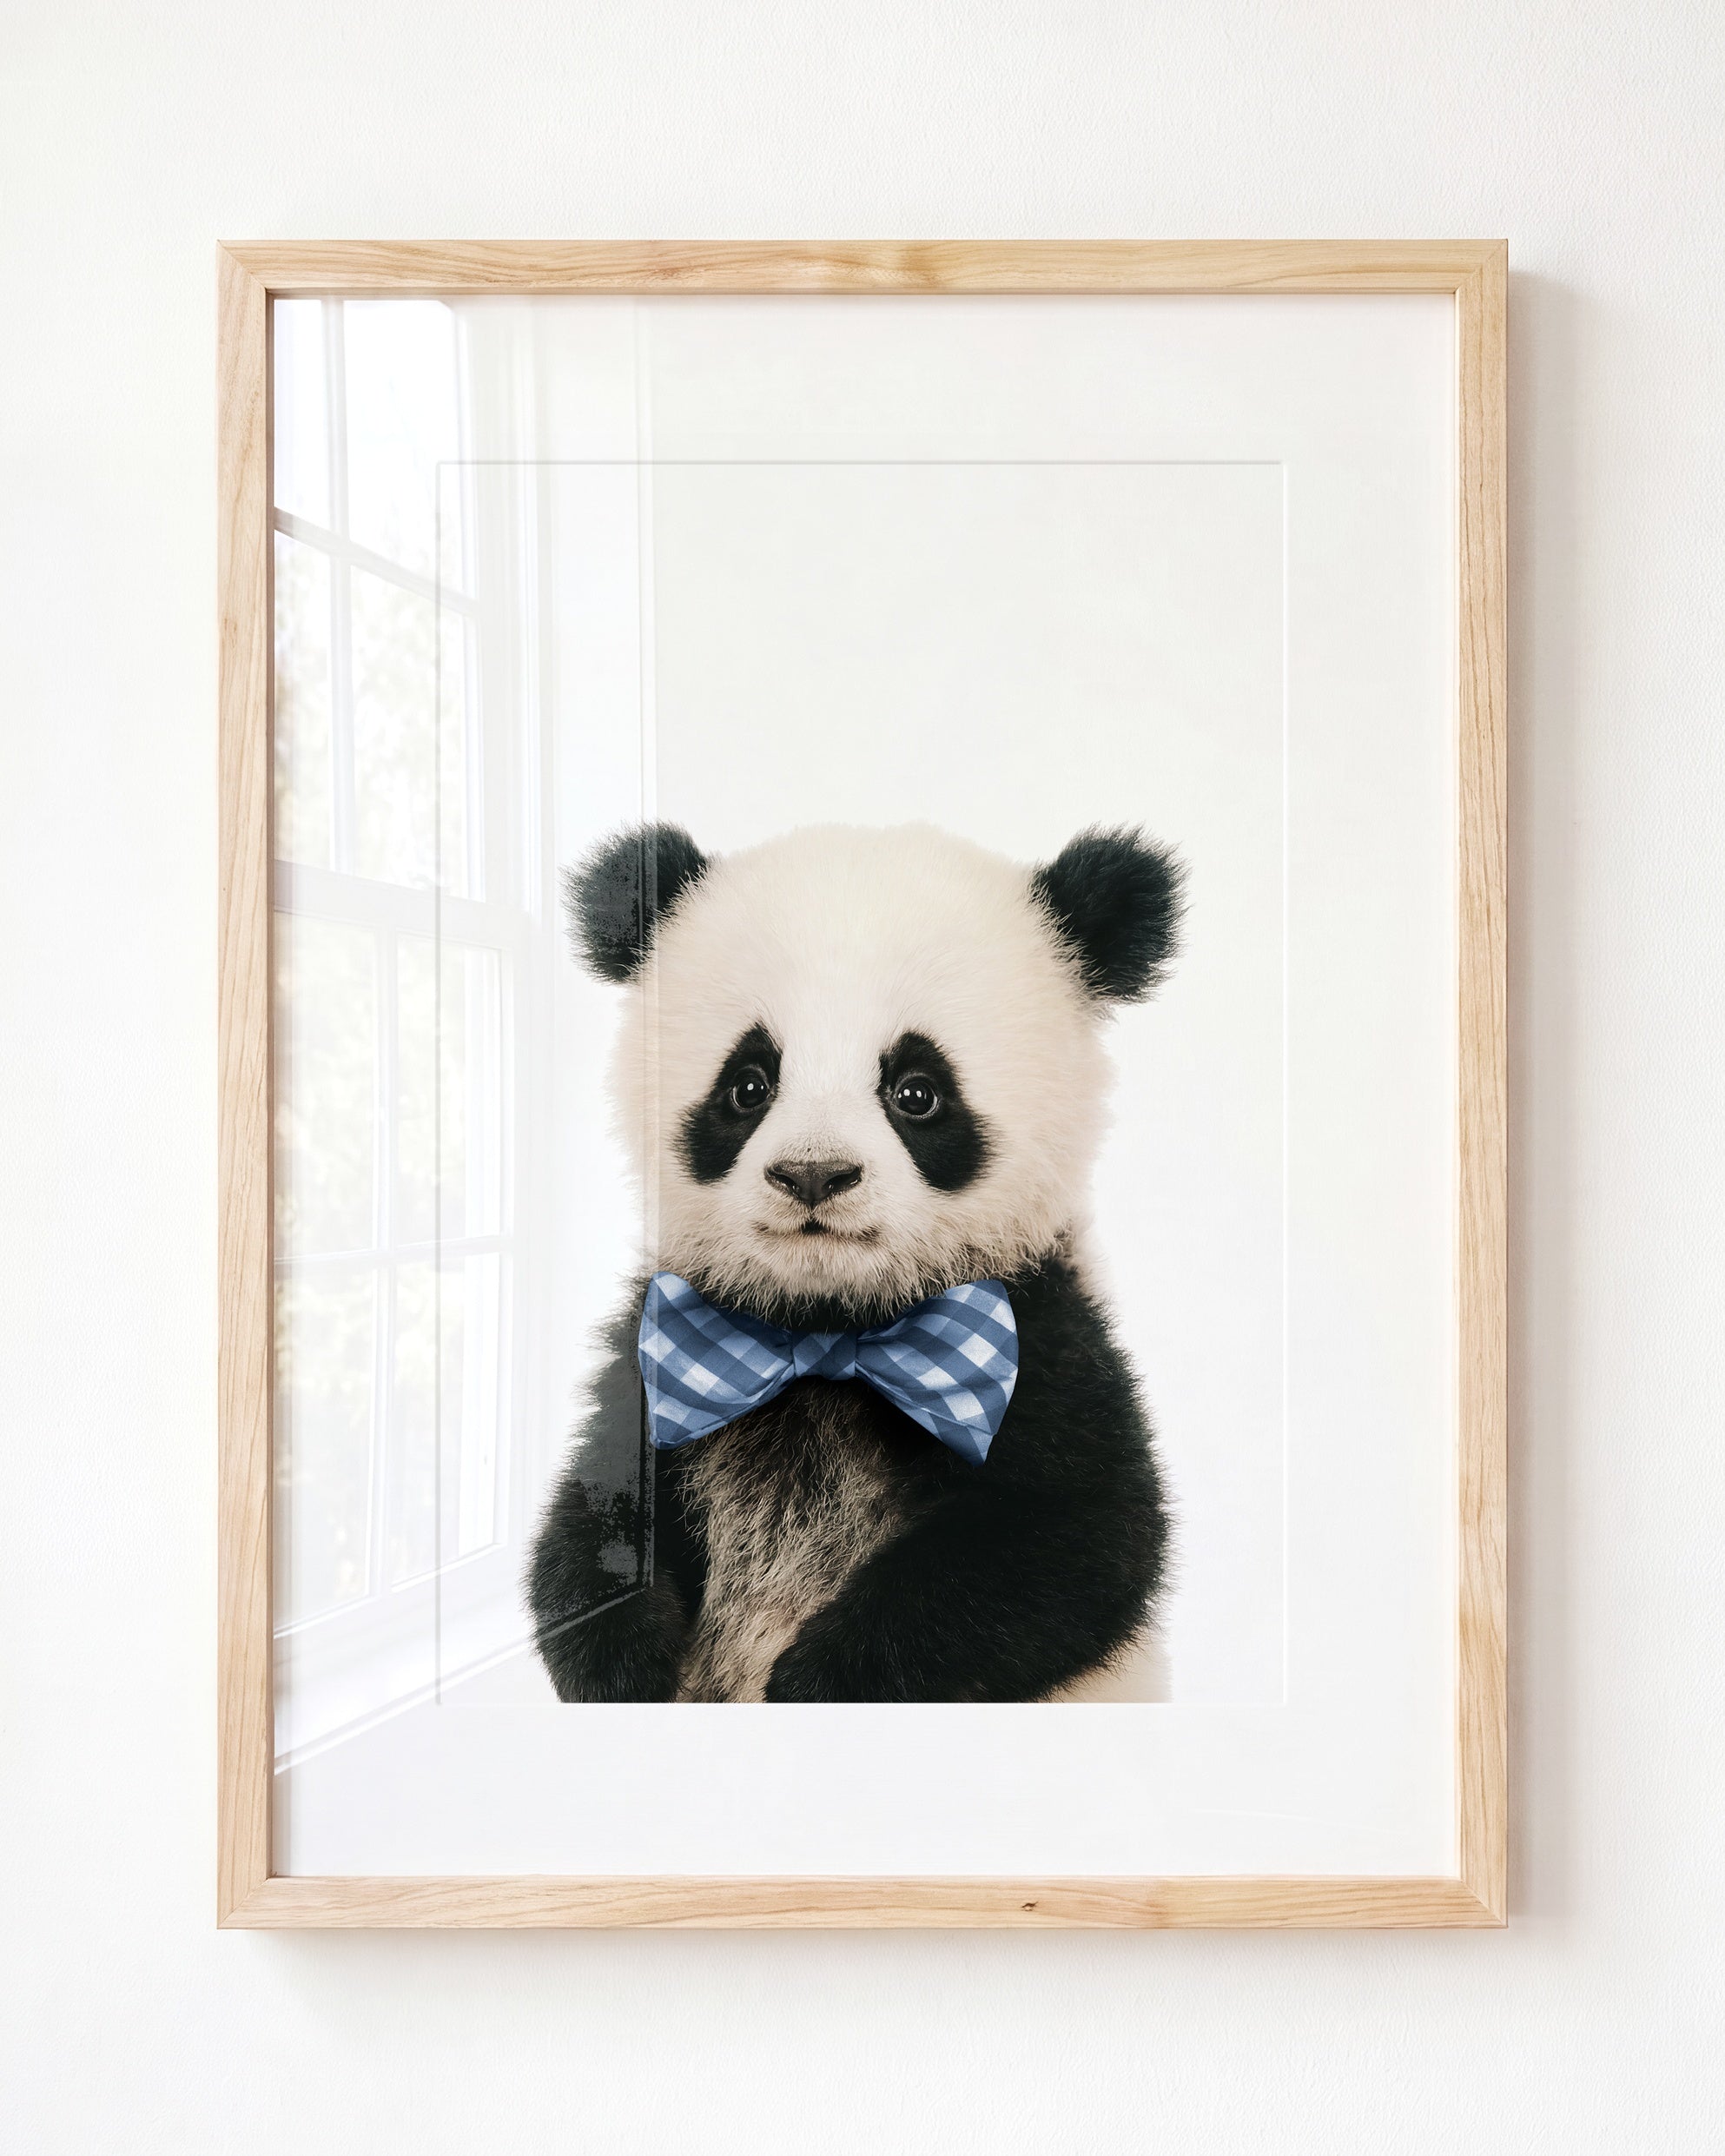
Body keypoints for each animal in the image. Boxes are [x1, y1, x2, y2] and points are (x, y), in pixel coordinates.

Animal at [527, 818, 1183, 1704]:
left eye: (917, 1091)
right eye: (748, 1085)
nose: (814, 1174)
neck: (828, 1333)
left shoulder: (1045, 1340)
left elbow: (1075, 1540)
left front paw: (818, 1680)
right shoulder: (659, 1348)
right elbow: (591, 1516)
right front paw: (624, 1664)